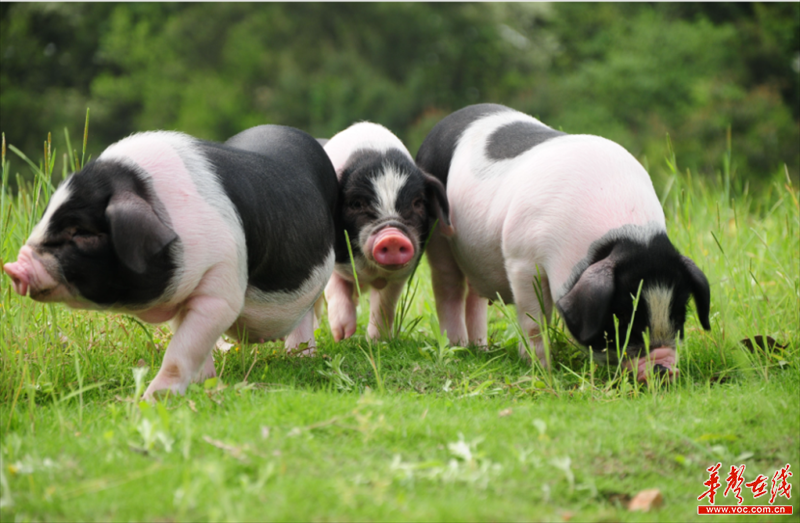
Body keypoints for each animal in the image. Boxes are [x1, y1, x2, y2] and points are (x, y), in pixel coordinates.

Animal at [3, 129, 336, 400]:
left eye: (81, 232)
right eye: (46, 217)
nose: (13, 267)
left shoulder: (219, 286)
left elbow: (181, 350)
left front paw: (152, 399)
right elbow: (192, 344)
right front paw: (204, 382)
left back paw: (302, 357)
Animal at [324, 124, 454, 344]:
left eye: (417, 203)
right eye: (356, 203)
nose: (392, 236)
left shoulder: (400, 274)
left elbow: (384, 305)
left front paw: (378, 341)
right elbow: (336, 286)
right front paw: (342, 335)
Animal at [416, 103, 708, 380]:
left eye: (679, 315)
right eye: (622, 318)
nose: (664, 370)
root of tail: (441, 125)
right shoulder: (522, 259)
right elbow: (535, 320)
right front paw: (542, 369)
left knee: (474, 297)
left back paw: (480, 348)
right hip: (438, 234)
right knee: (448, 287)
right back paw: (457, 346)